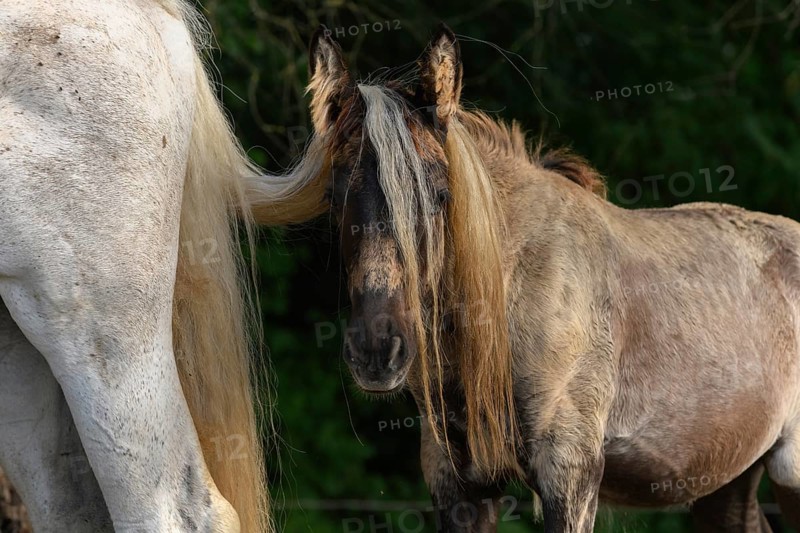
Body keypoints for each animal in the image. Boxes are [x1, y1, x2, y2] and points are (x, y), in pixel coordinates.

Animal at [289, 24, 800, 532]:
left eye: (438, 194)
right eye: (334, 196)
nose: (377, 350)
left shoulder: (570, 473)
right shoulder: (455, 479)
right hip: (728, 479)